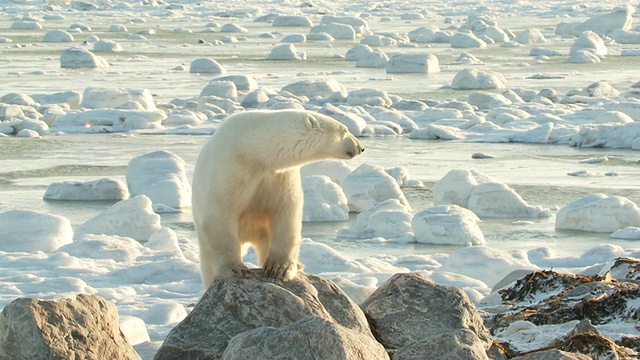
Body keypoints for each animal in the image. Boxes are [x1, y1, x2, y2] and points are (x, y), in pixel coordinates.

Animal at [191, 108, 364, 288]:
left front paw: (279, 268)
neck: (253, 149)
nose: (361, 147)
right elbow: (221, 213)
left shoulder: (279, 175)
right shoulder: (230, 167)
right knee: (207, 259)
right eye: (344, 130)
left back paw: (297, 265)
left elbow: (285, 211)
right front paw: (235, 269)